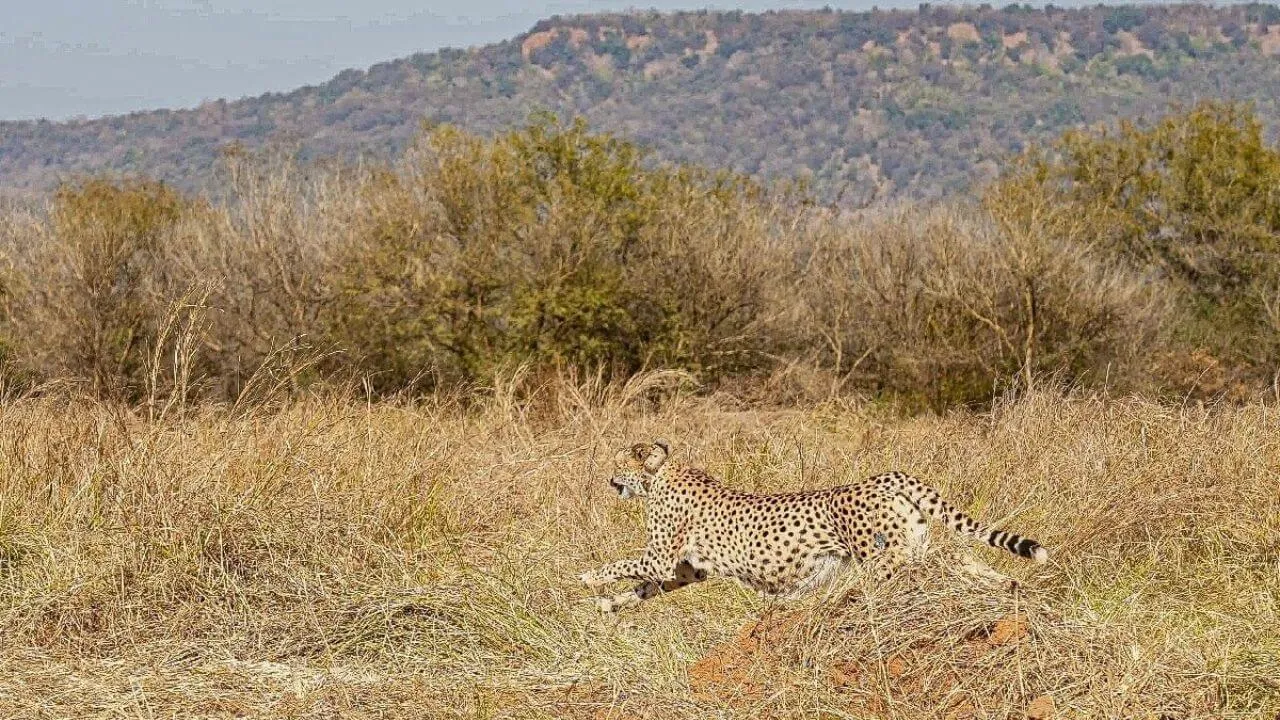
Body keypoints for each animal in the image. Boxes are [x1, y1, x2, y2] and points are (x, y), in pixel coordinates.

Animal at [579, 438, 1049, 612]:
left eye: (620, 462)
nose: (609, 480)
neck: (662, 475)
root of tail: (885, 476)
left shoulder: (661, 558)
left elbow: (624, 565)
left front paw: (590, 579)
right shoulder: (686, 569)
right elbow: (644, 587)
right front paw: (611, 604)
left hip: (883, 557)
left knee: (924, 571)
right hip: (912, 544)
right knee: (952, 558)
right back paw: (1005, 584)